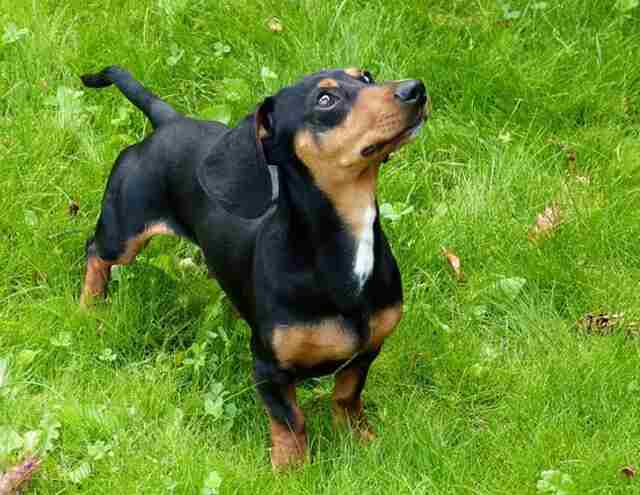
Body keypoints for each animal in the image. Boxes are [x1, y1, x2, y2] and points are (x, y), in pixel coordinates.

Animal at [81, 66, 430, 468]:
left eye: (367, 76)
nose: (416, 89)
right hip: (123, 233)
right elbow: (290, 421)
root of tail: (169, 121)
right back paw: (90, 304)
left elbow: (346, 396)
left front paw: (360, 437)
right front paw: (292, 468)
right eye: (325, 100)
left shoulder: (367, 350)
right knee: (95, 252)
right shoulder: (268, 368)